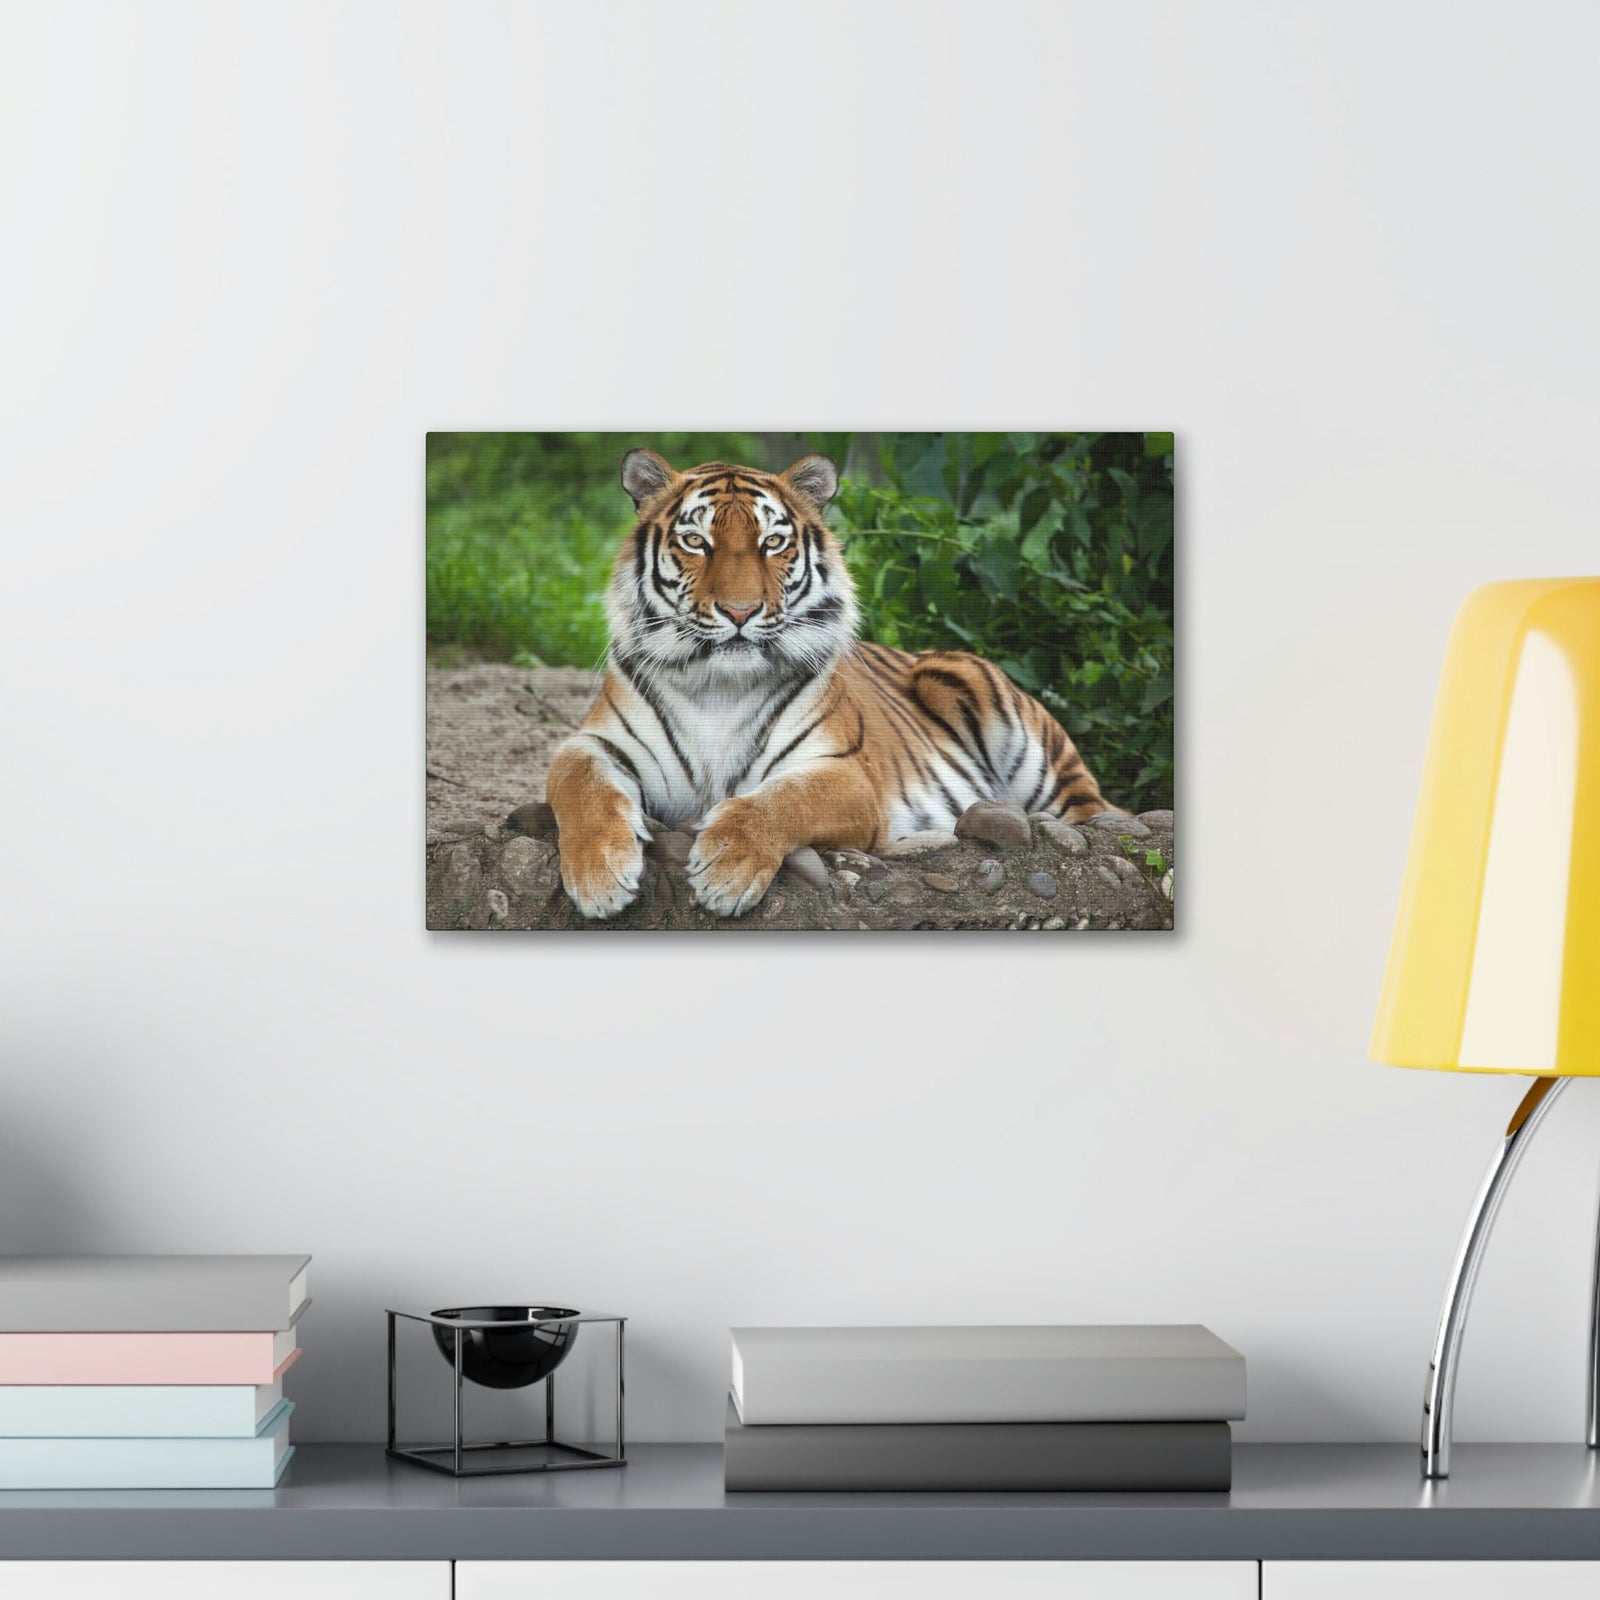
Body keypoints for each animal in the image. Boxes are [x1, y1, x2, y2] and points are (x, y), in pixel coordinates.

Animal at [544, 448, 1117, 918]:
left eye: (772, 542)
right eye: (695, 541)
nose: (739, 611)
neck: (719, 687)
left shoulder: (846, 775)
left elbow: (781, 801)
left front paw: (725, 870)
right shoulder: (595, 743)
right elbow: (580, 784)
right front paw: (599, 876)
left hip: (985, 701)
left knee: (1093, 813)